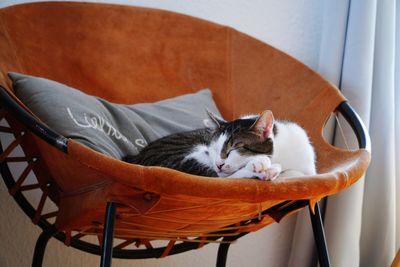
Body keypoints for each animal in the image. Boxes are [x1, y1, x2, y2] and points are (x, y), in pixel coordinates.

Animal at [123, 110, 314, 181]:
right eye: (213, 149)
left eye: (234, 148)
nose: (218, 164)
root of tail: (135, 157)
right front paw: (262, 163)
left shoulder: (308, 167)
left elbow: (297, 172)